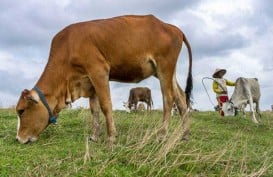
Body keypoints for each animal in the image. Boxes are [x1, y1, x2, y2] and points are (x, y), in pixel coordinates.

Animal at [15, 14, 192, 145]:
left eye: (21, 111)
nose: (17, 138)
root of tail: (171, 27)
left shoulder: (99, 71)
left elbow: (106, 105)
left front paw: (111, 137)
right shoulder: (89, 81)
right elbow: (94, 109)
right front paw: (94, 136)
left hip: (164, 67)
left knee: (168, 98)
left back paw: (162, 135)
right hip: (167, 72)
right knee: (181, 97)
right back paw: (185, 134)